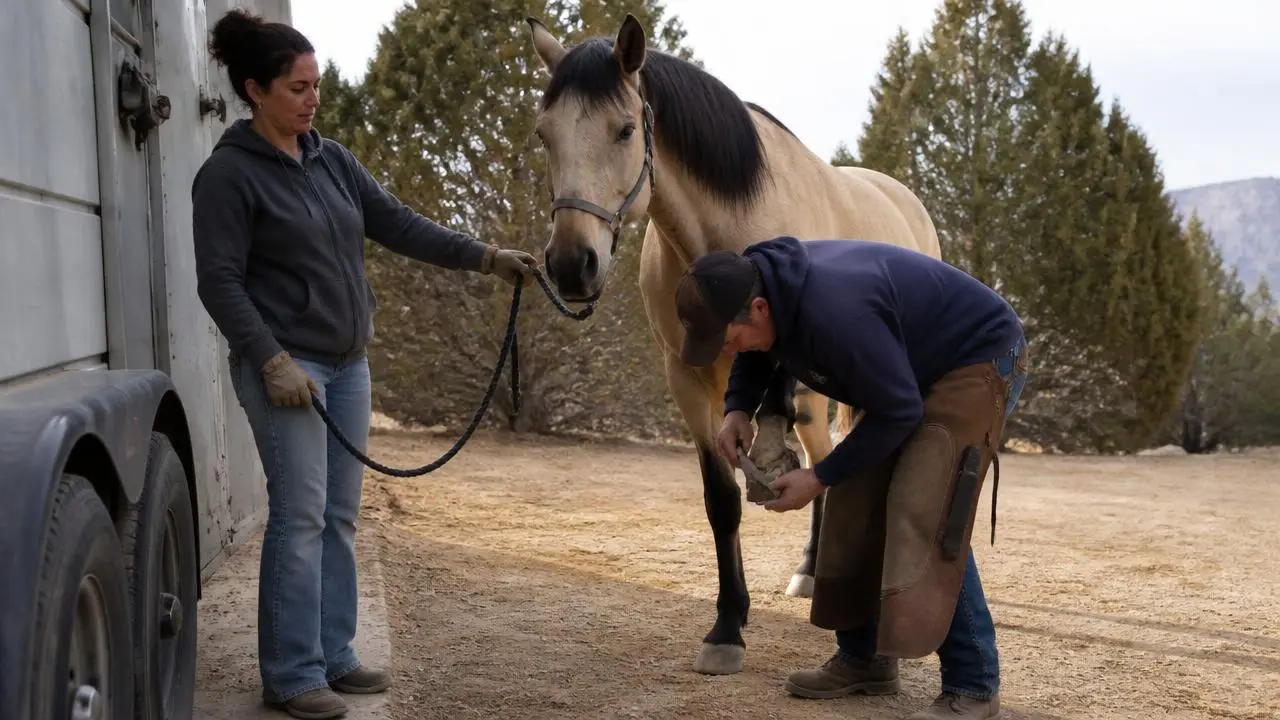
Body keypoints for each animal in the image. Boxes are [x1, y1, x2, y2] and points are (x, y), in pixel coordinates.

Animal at [524, 13, 941, 676]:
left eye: (624, 130)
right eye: (545, 135)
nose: (571, 265)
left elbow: (773, 421)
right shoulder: (687, 379)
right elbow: (721, 500)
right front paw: (727, 625)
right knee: (828, 455)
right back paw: (809, 570)